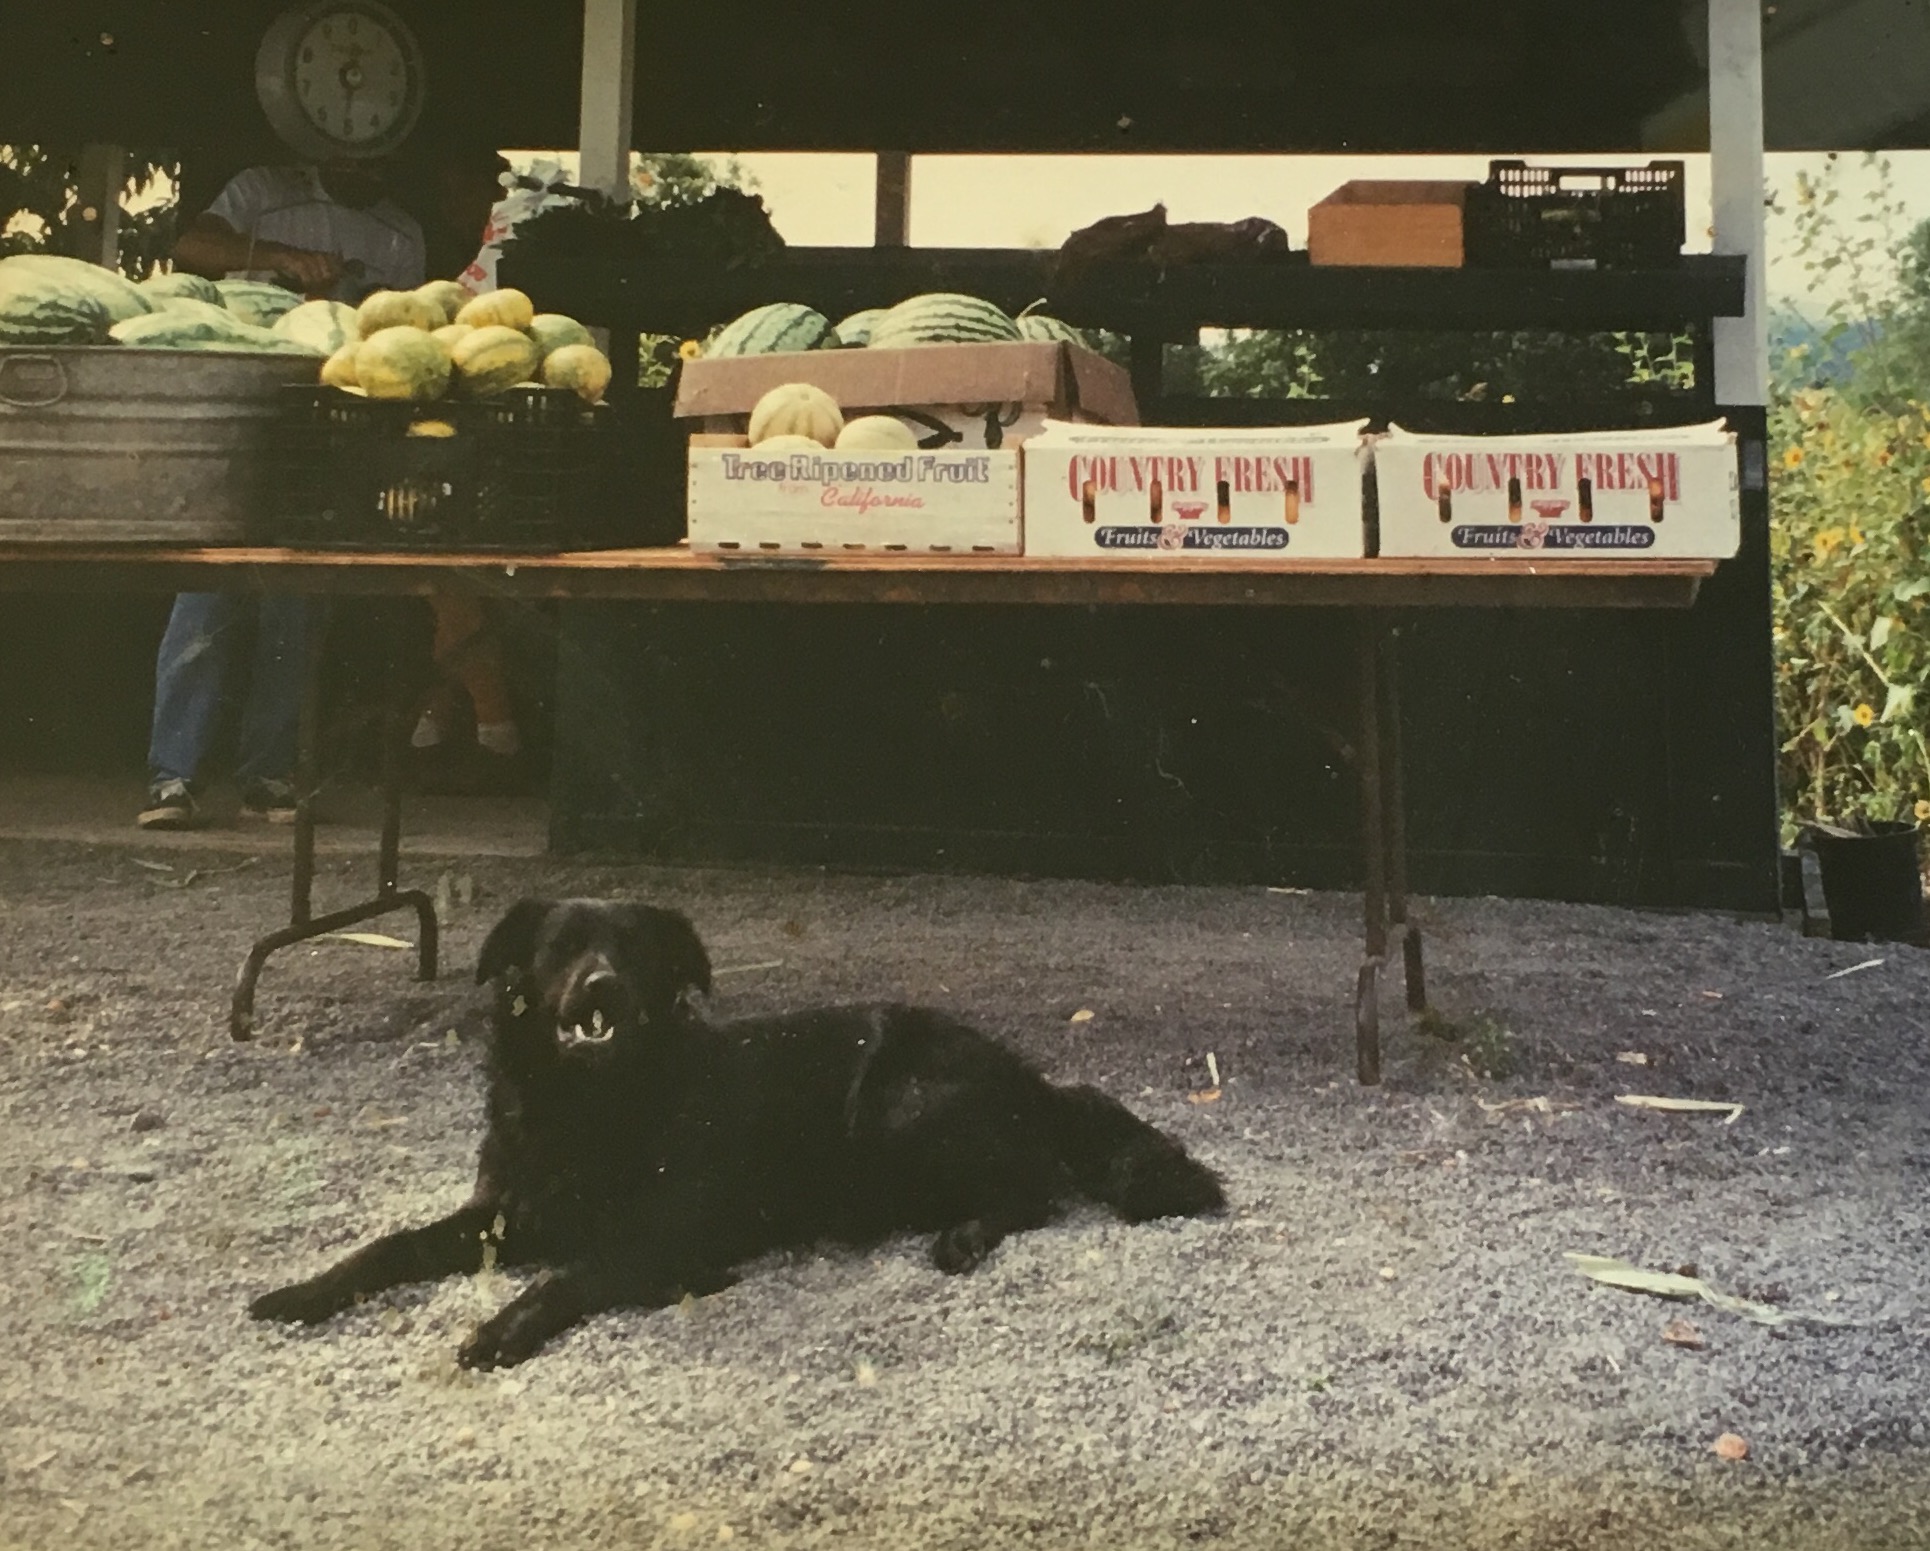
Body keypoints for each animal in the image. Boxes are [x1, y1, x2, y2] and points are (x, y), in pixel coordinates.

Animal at [248, 895, 1227, 1365]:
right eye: (560, 947)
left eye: (634, 951)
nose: (602, 987)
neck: (590, 1105)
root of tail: (1033, 1078)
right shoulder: (498, 1213)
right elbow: (386, 1246)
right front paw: (302, 1291)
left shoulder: (662, 1235)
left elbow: (572, 1274)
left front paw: (506, 1326)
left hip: (894, 1111)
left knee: (1032, 1185)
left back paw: (964, 1235)